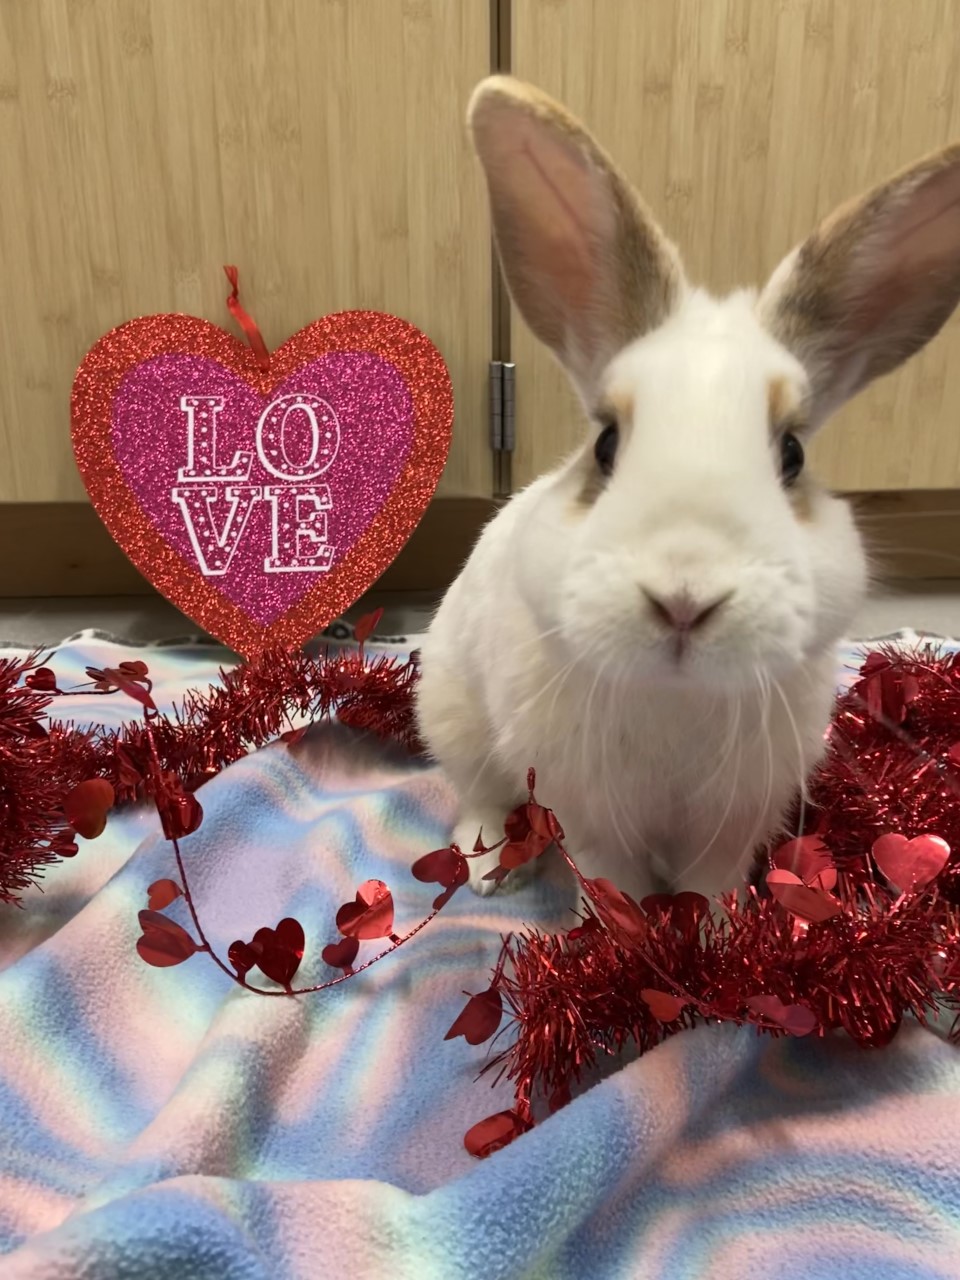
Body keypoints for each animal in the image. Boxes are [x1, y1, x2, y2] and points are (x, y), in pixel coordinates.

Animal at [416, 75, 960, 901]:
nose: (683, 600)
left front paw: (715, 931)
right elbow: (619, 889)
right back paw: (484, 870)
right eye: (606, 443)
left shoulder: (734, 822)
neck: (678, 698)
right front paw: (629, 934)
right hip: (452, 709)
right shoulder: (589, 815)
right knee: (478, 789)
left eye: (792, 454)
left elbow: (709, 886)